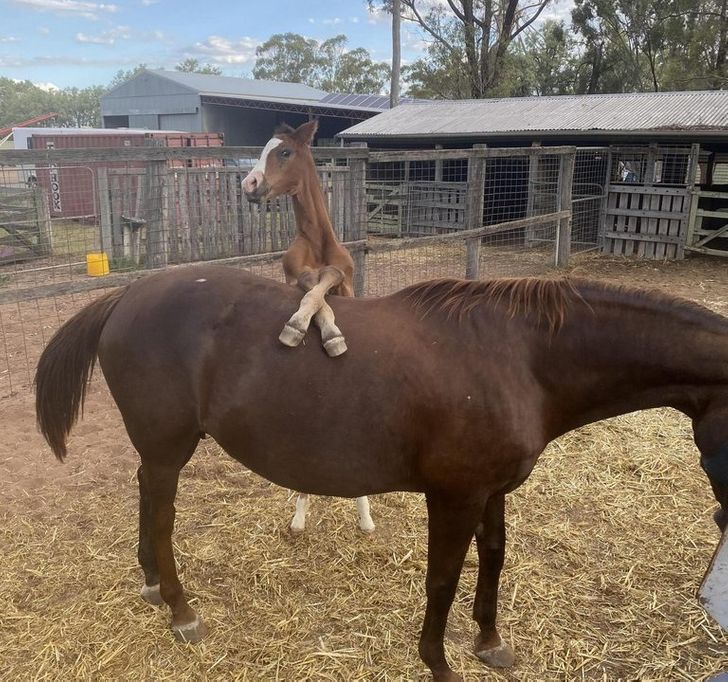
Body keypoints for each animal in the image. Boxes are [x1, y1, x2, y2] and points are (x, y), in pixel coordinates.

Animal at [34, 266, 728, 680]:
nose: (724, 519)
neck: (520, 356)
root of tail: (128, 294)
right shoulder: (453, 498)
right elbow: (442, 581)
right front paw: (440, 664)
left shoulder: (492, 491)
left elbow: (495, 557)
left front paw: (489, 641)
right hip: (168, 446)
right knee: (161, 512)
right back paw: (180, 608)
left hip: (158, 450)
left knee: (146, 499)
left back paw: (152, 582)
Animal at [242, 123, 376, 536]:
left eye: (284, 152)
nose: (249, 184)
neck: (318, 241)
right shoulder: (294, 277)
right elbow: (312, 289)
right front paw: (300, 327)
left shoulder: (346, 284)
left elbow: (327, 279)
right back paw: (300, 516)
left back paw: (365, 514)